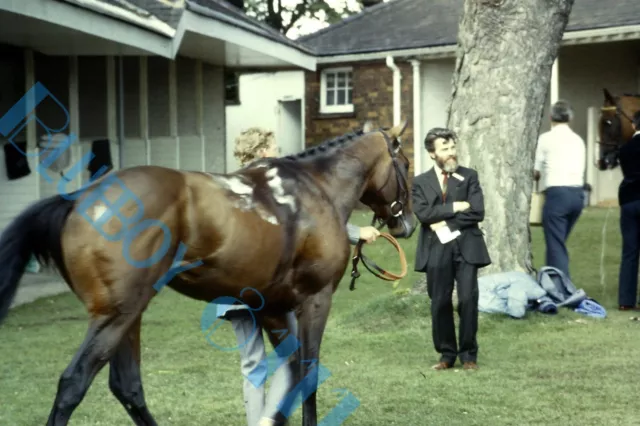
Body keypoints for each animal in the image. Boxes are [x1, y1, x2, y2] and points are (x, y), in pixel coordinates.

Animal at [0, 120, 416, 426]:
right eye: (407, 165)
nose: (407, 223)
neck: (316, 190)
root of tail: (77, 201)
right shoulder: (315, 299)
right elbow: (308, 372)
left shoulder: (271, 308)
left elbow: (291, 373)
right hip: (114, 316)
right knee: (74, 383)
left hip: (129, 315)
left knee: (127, 386)